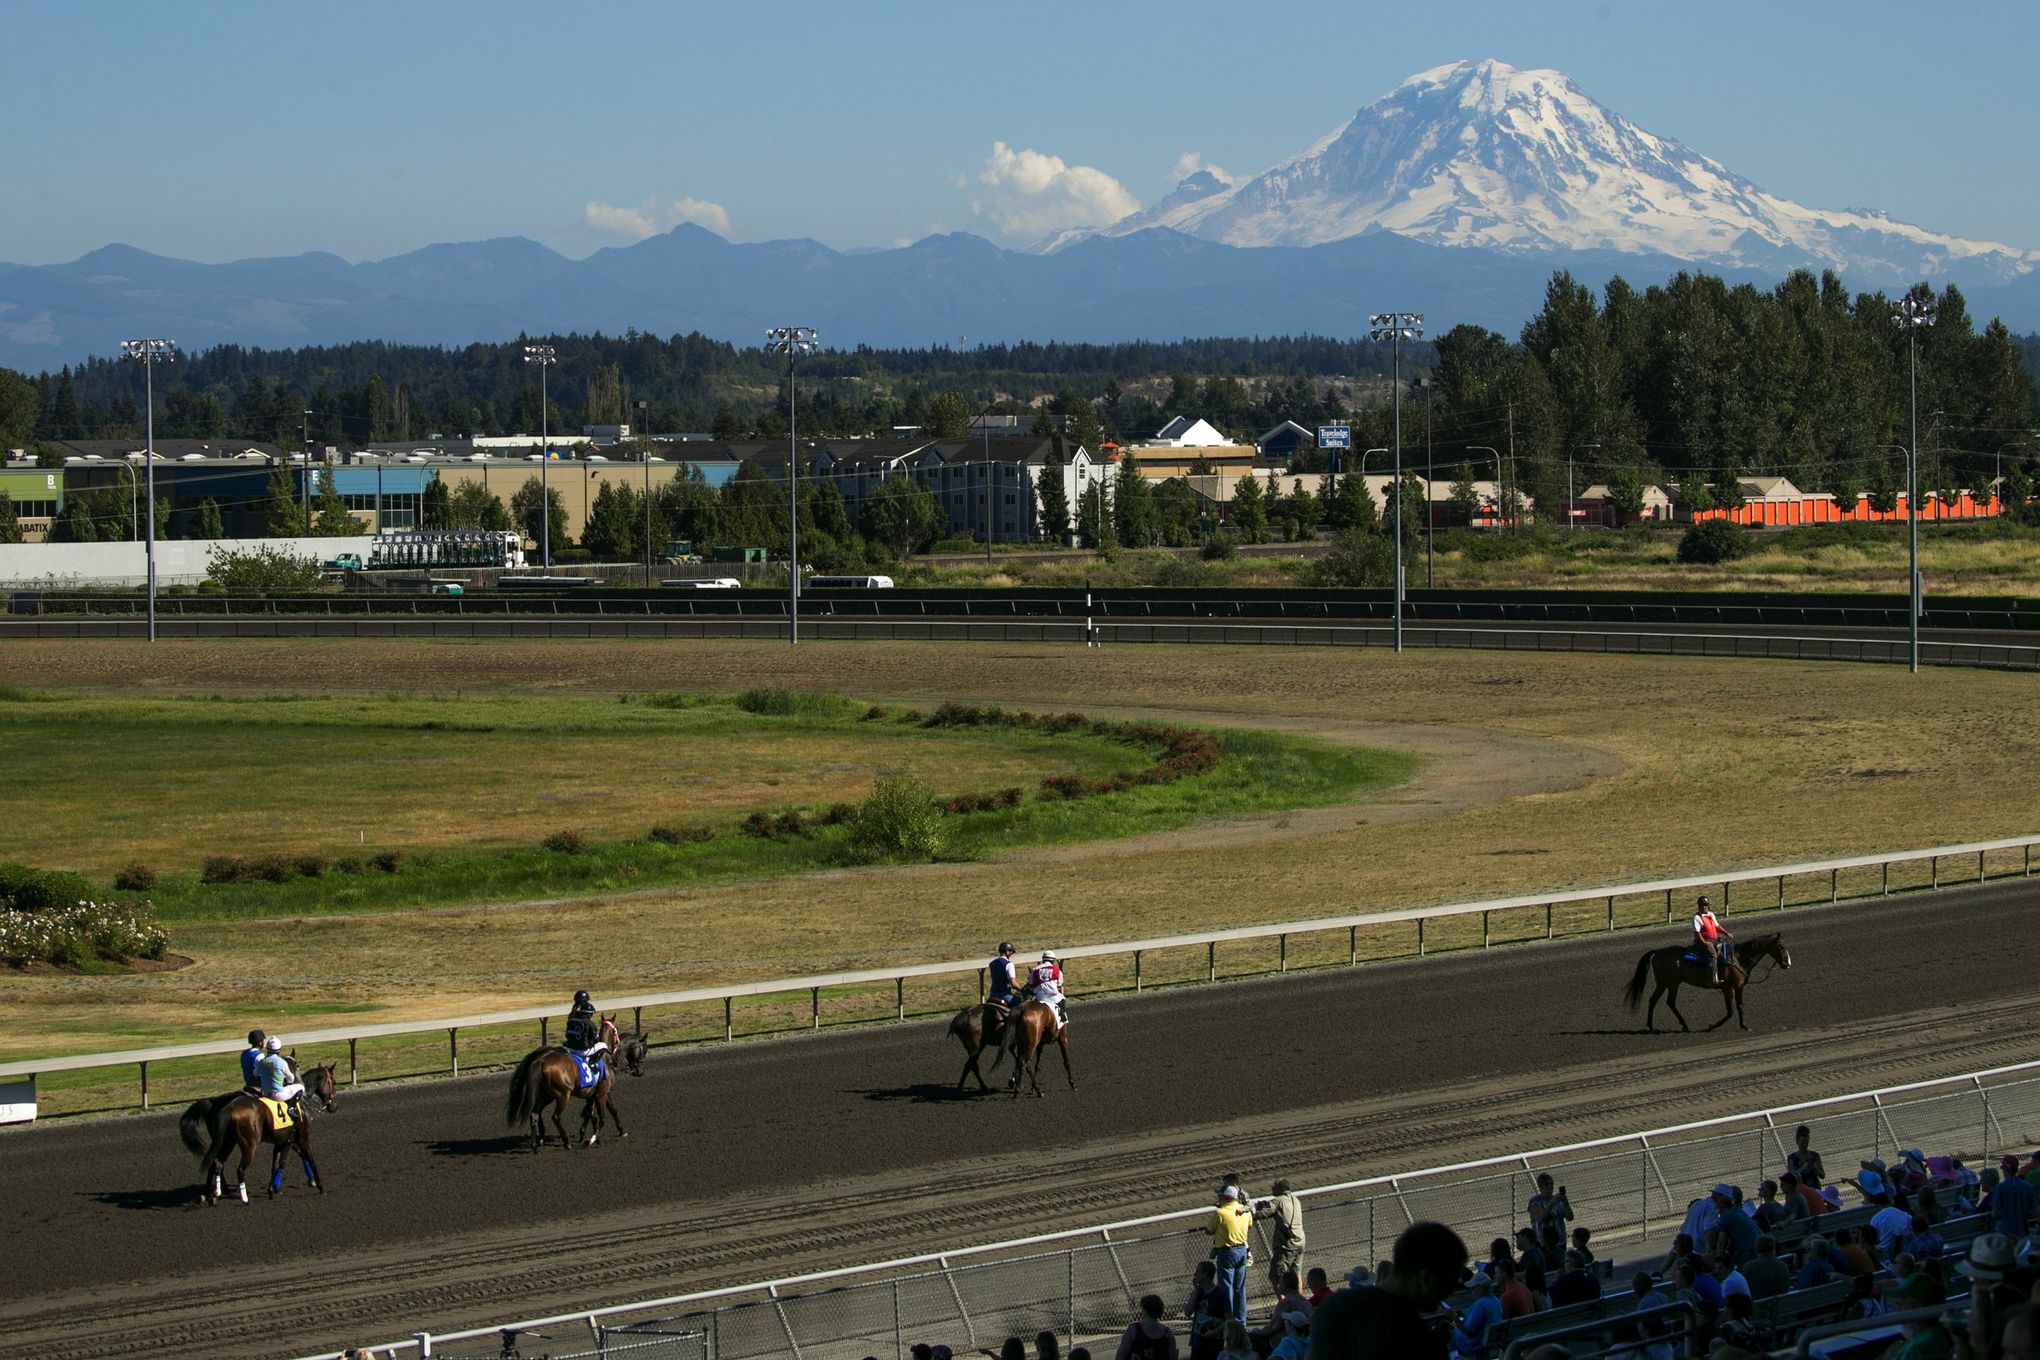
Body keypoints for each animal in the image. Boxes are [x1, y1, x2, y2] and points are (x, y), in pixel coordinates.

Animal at [180, 1052, 338, 1198]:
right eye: (334, 1082)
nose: (334, 1106)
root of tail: (213, 1102)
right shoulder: (297, 1138)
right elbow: (300, 1158)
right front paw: (315, 1183)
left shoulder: (285, 1139)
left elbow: (280, 1161)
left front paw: (275, 1188)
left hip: (223, 1140)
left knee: (214, 1161)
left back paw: (211, 1192)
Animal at [503, 1015, 644, 1158]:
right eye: (644, 1049)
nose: (639, 1071)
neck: (605, 1058)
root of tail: (540, 1060)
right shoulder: (602, 1093)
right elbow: (605, 1115)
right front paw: (594, 1138)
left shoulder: (591, 1094)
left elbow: (592, 1113)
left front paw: (589, 1134)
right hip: (562, 1095)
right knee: (555, 1116)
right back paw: (565, 1142)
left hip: (545, 1094)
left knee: (535, 1114)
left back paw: (536, 1145)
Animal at [1615, 937, 1795, 1031]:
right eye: (1781, 946)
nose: (1787, 964)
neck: (1737, 958)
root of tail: (1658, 952)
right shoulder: (1728, 988)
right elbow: (1730, 1011)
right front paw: (1712, 1026)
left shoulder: (1738, 987)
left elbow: (1739, 1007)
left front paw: (1744, 1025)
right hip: (1672, 983)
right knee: (1668, 1002)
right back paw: (1680, 1025)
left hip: (1664, 983)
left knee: (1655, 1000)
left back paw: (1655, 1026)